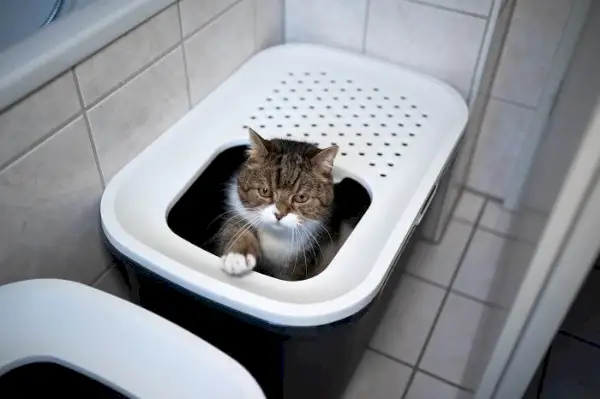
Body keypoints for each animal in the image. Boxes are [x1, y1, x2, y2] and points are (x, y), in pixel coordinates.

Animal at [218, 128, 344, 282]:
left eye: (301, 197)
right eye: (264, 191)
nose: (279, 214)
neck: (276, 236)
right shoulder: (238, 211)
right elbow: (236, 228)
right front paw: (237, 256)